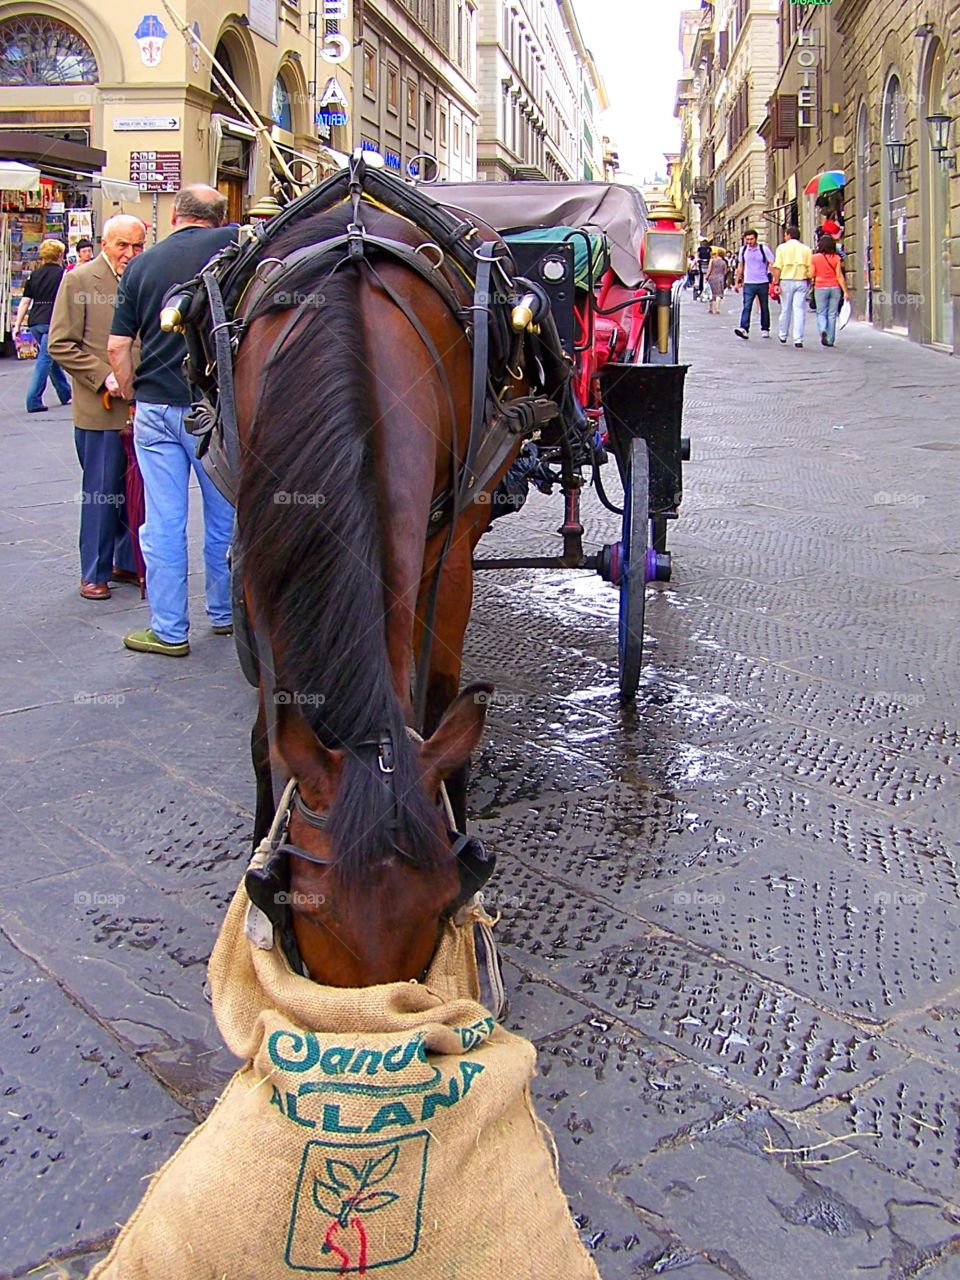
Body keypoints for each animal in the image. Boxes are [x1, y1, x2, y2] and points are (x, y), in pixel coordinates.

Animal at [231, 202, 514, 977]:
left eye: (445, 905)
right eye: (300, 911)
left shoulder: (452, 560)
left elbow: (442, 702)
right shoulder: (258, 566)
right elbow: (269, 730)